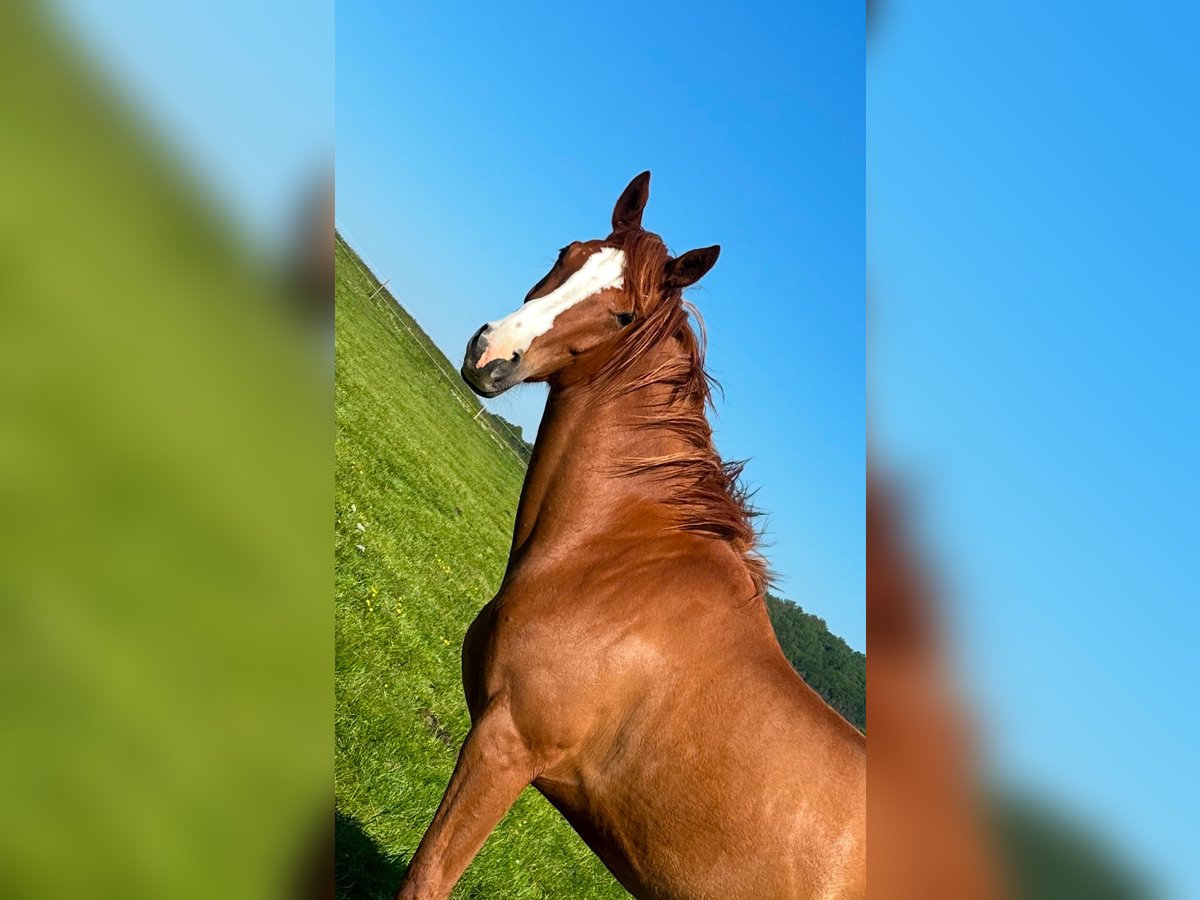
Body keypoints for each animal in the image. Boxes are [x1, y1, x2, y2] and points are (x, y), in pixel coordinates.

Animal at [398, 172, 868, 897]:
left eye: (623, 316)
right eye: (567, 252)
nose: (491, 353)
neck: (615, 561)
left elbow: (426, 879)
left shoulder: (505, 747)